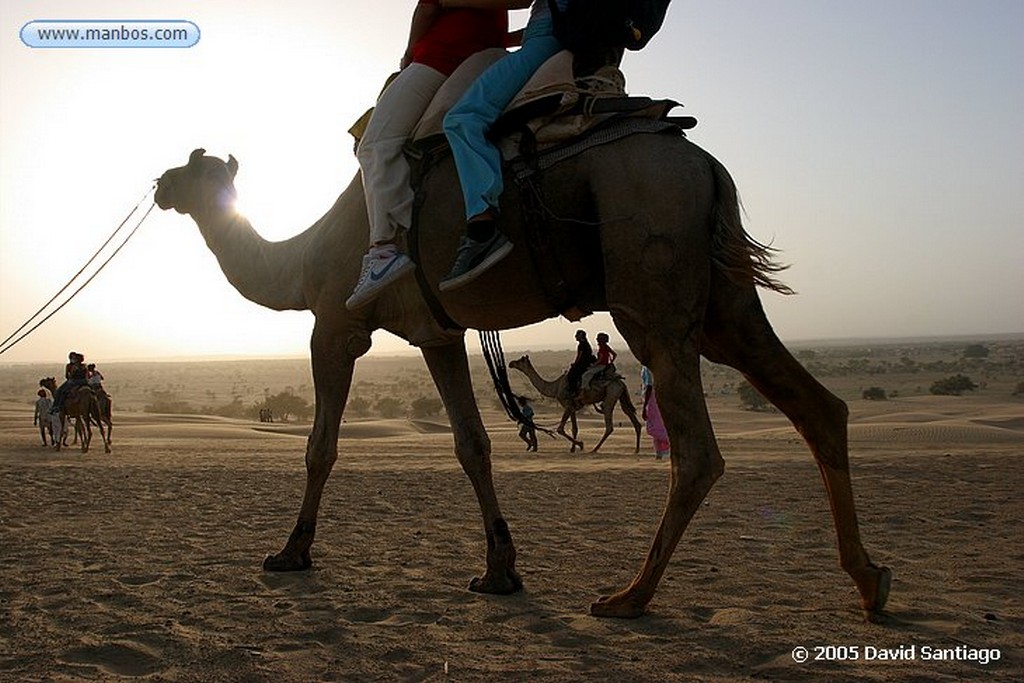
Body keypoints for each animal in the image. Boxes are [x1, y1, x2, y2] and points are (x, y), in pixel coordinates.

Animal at [505, 352, 638, 454]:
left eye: (520, 360)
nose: (511, 363)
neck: (555, 387)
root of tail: (620, 382)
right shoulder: (573, 407)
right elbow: (574, 428)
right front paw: (573, 448)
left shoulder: (567, 405)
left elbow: (560, 429)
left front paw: (580, 444)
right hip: (621, 395)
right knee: (631, 416)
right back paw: (636, 449)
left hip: (611, 395)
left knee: (609, 424)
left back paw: (595, 449)